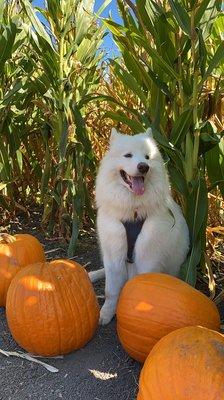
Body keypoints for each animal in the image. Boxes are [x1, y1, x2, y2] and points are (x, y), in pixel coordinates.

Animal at [92, 128, 189, 324]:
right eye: (128, 155)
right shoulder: (113, 254)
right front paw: (105, 314)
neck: (133, 213)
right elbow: (110, 290)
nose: (143, 166)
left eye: (147, 157)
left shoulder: (148, 256)